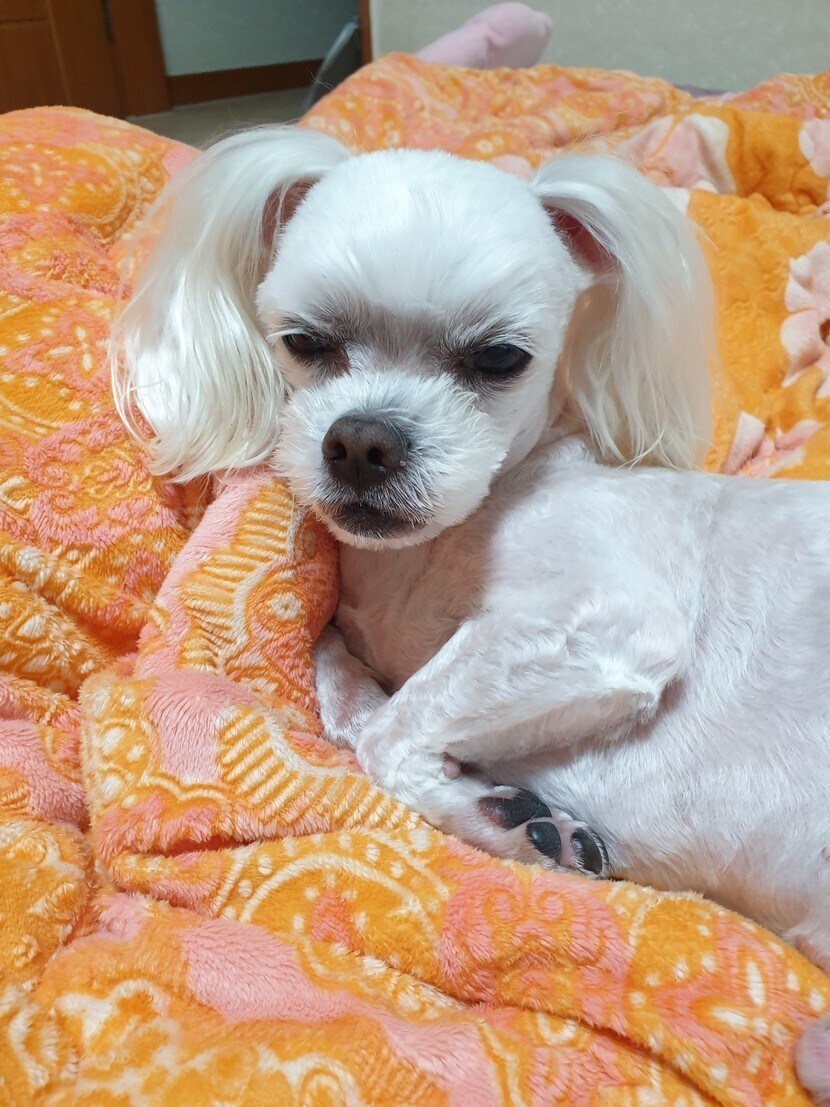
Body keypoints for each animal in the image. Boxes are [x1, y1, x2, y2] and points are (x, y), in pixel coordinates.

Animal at [111, 126, 830, 1101]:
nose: (360, 441)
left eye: (498, 359)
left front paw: (503, 820)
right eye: (304, 341)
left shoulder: (610, 621)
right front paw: (506, 807)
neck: (429, 557)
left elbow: (388, 734)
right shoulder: (371, 639)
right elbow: (345, 683)